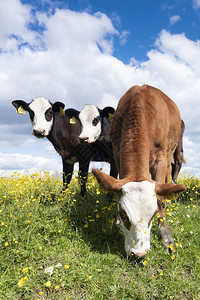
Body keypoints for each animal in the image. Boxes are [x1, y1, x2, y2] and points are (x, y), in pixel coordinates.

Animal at [92, 84, 186, 258]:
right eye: (123, 214)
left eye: (153, 214)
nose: (138, 254)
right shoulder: (117, 154)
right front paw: (116, 220)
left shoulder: (161, 158)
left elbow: (160, 198)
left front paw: (165, 234)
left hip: (173, 150)